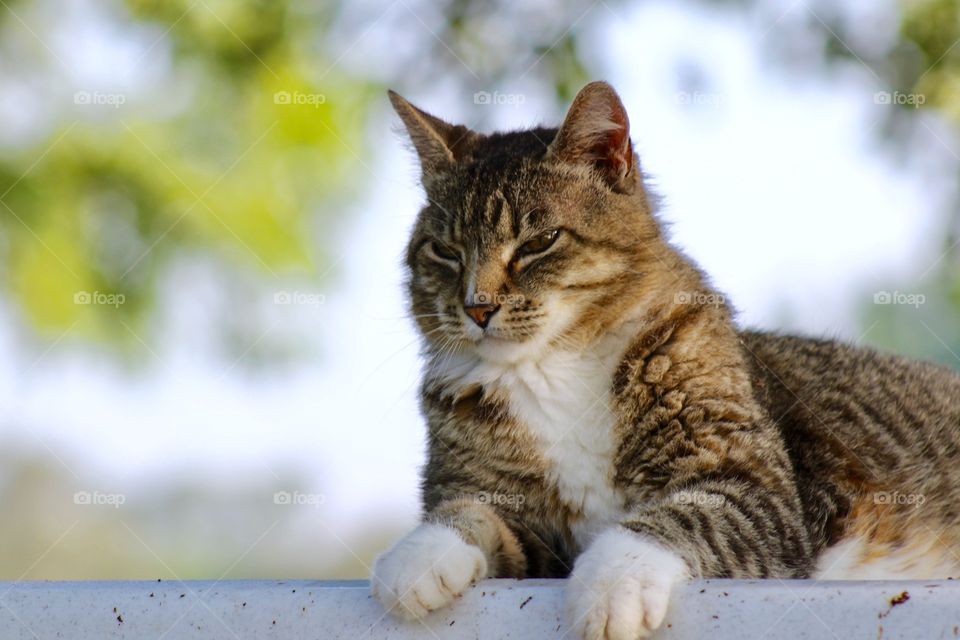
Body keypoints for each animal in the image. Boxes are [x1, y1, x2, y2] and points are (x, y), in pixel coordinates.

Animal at [370, 81, 960, 640]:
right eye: (445, 252)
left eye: (540, 242)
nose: (477, 306)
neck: (553, 367)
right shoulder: (522, 524)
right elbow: (470, 511)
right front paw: (420, 554)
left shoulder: (758, 487)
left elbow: (684, 515)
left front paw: (614, 581)